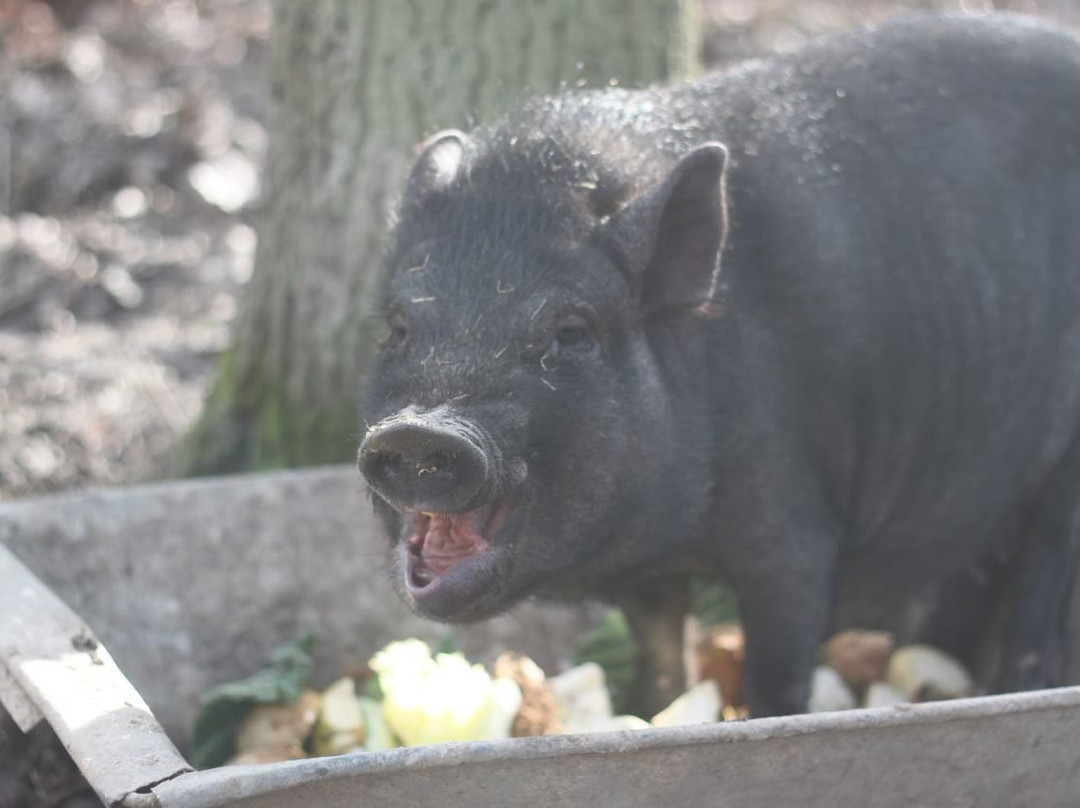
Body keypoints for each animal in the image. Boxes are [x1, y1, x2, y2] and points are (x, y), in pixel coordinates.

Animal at [358, 15, 1080, 717]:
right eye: (398, 326)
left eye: (571, 332)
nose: (420, 431)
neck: (685, 529)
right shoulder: (647, 566)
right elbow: (659, 648)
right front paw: (648, 713)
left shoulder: (795, 530)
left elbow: (777, 665)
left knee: (1044, 588)